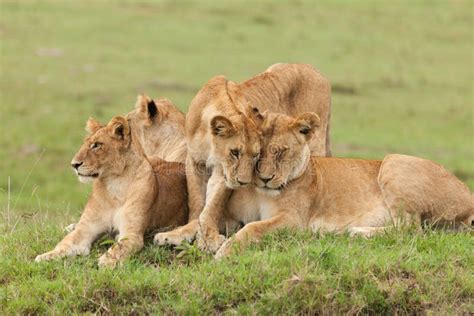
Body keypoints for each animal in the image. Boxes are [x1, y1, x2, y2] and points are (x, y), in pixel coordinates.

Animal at [35, 115, 187, 266]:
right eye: (84, 144)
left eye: (97, 145)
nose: (74, 165)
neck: (114, 184)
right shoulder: (86, 228)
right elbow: (65, 243)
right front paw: (45, 256)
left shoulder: (132, 234)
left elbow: (119, 247)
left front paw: (106, 261)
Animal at [154, 63, 332, 251]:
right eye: (235, 152)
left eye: (256, 155)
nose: (244, 182)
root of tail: (314, 70)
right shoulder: (195, 161)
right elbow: (197, 202)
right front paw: (180, 233)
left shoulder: (222, 172)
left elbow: (213, 205)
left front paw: (208, 238)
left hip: (316, 143)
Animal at [213, 112, 472, 258]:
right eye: (259, 154)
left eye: (282, 152)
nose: (265, 178)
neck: (261, 192)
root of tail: (469, 194)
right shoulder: (233, 215)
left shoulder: (294, 221)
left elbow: (253, 228)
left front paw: (224, 252)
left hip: (393, 161)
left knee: (410, 230)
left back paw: (356, 231)